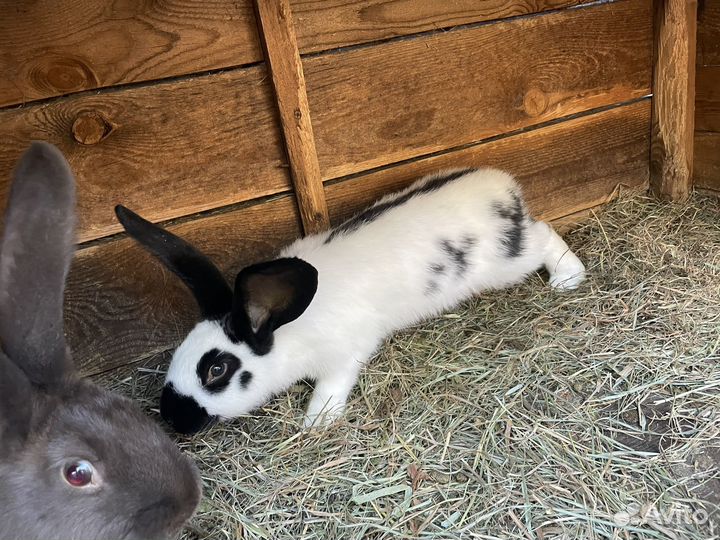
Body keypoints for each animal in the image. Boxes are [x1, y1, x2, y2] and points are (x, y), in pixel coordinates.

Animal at [116, 168, 586, 435]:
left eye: (217, 370)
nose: (172, 419)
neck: (286, 331)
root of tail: (504, 187)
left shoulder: (345, 353)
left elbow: (334, 385)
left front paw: (316, 421)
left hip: (507, 262)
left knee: (544, 234)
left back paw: (568, 279)